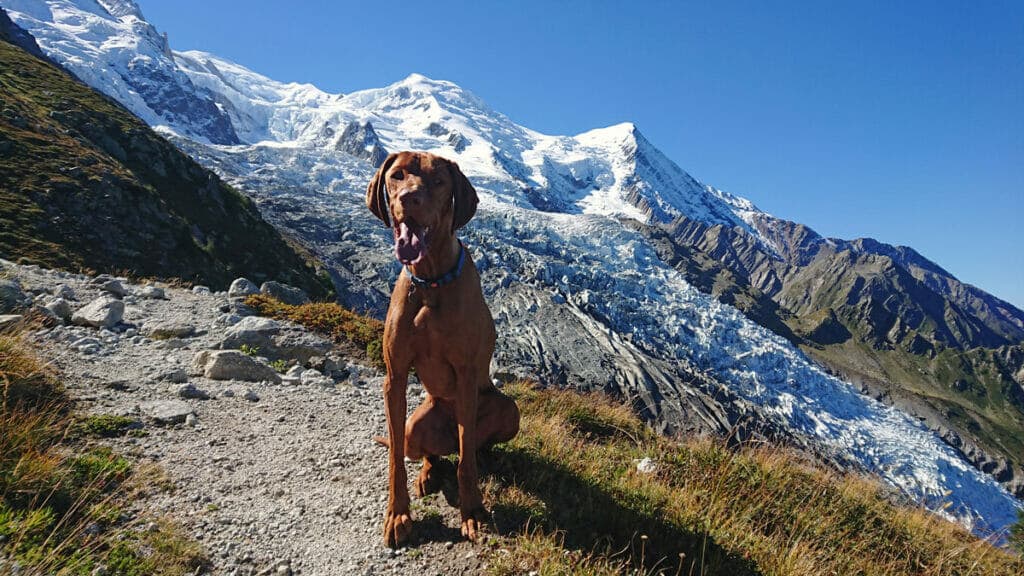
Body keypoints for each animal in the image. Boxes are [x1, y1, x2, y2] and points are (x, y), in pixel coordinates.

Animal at [366, 150, 520, 545]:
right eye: (397, 175)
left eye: (438, 181)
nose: (410, 199)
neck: (431, 281)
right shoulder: (395, 377)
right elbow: (395, 460)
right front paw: (398, 515)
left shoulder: (465, 376)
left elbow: (466, 465)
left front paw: (473, 512)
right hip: (415, 425)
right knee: (429, 454)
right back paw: (428, 473)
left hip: (508, 410)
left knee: (472, 448)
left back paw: (485, 458)